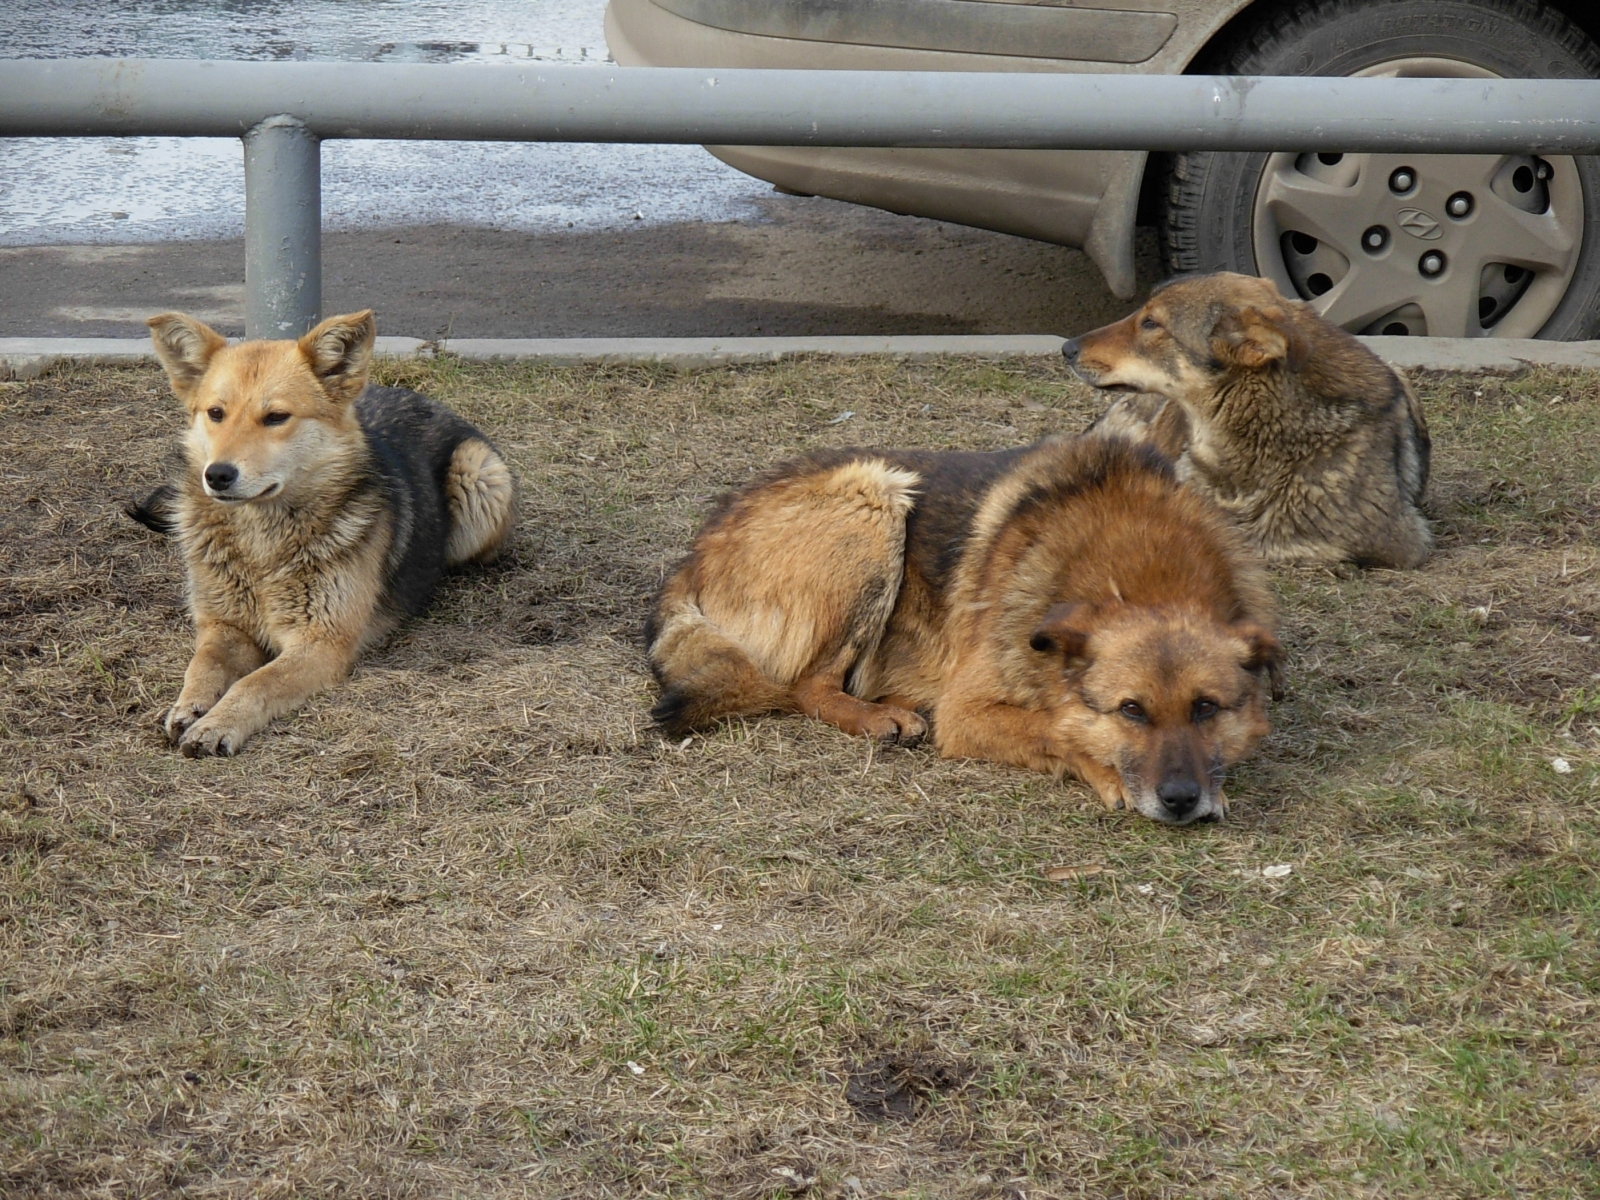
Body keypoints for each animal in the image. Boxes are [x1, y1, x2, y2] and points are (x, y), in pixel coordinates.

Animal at [135, 310, 518, 761]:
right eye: (215, 413)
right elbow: (204, 664)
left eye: (276, 417)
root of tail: (425, 398)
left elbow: (254, 683)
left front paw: (217, 723)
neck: (261, 544)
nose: (217, 475)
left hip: (480, 476)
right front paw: (189, 706)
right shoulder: (224, 626)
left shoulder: (320, 644)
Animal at [643, 435, 1280, 825]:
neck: (1142, 567)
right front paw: (1102, 767)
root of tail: (695, 552)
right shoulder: (966, 711)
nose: (1181, 801)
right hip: (873, 499)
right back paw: (877, 717)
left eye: (1205, 708)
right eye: (1131, 710)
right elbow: (1055, 725)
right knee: (809, 686)